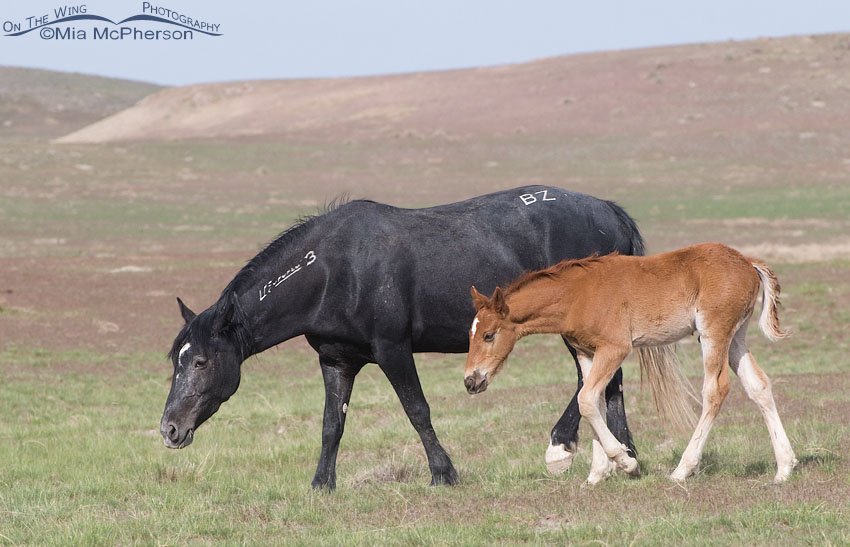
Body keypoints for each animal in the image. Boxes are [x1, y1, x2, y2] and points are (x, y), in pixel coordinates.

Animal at [160, 185, 656, 489]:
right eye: (176, 361)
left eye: (200, 361)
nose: (169, 429)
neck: (335, 270)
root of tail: (608, 209)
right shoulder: (337, 361)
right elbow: (331, 424)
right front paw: (322, 484)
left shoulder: (393, 350)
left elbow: (417, 410)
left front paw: (443, 474)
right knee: (610, 384)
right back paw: (625, 457)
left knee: (593, 382)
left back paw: (563, 449)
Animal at [465, 242, 797, 485]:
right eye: (471, 333)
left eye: (489, 334)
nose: (471, 380)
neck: (576, 294)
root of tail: (747, 262)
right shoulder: (588, 352)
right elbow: (594, 401)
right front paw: (596, 475)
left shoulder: (615, 348)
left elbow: (586, 400)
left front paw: (627, 463)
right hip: (735, 336)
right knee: (759, 386)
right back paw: (784, 467)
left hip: (713, 332)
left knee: (715, 390)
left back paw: (682, 470)